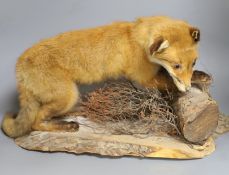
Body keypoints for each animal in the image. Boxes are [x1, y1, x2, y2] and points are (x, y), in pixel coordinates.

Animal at [1, 15, 199, 137]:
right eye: (176, 66)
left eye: (194, 63)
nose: (188, 88)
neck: (134, 37)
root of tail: (20, 66)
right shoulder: (145, 78)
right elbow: (167, 82)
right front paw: (196, 82)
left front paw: (199, 77)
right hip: (68, 95)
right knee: (35, 123)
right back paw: (67, 125)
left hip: (65, 98)